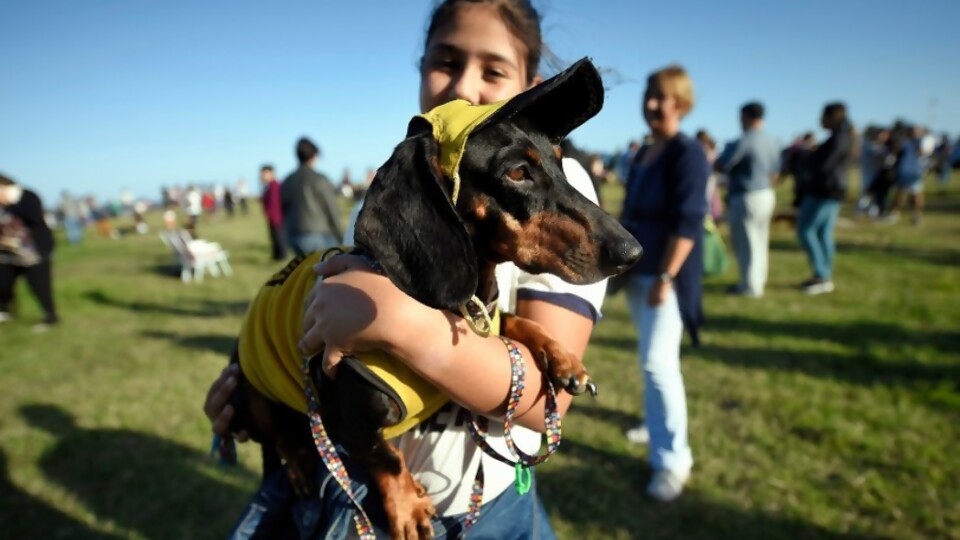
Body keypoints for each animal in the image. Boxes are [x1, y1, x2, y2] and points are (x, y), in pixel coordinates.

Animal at [228, 59, 640, 540]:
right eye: (517, 172)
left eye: (562, 165)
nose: (633, 252)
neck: (450, 305)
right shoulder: (344, 419)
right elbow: (385, 459)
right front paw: (408, 508)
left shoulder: (489, 318)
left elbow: (516, 322)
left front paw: (563, 359)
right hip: (249, 386)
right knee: (278, 438)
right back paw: (295, 463)